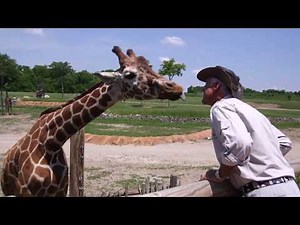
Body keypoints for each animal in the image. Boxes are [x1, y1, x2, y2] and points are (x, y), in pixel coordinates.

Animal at [0, 46, 185, 197]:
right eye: (129, 74)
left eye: (150, 66)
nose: (176, 88)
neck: (51, 142)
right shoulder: (27, 192)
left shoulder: (60, 190)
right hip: (10, 191)